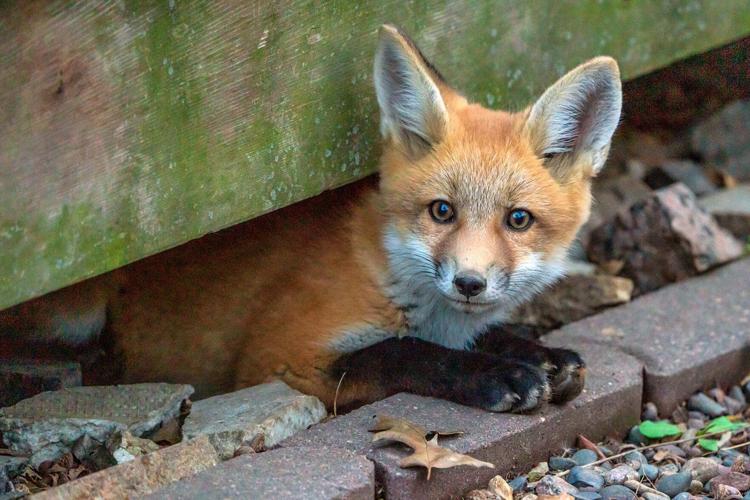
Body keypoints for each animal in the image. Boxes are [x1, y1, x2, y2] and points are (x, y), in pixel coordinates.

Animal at [0, 25, 621, 413]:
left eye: (518, 220)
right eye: (441, 211)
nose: (469, 282)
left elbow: (490, 334)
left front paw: (537, 353)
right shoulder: (278, 364)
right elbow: (401, 351)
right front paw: (497, 374)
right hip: (78, 308)